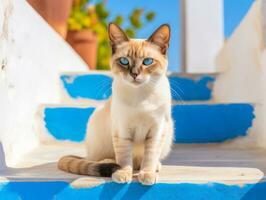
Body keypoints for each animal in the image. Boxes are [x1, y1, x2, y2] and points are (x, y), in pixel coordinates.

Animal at [58, 22, 174, 185]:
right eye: (124, 61)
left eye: (147, 62)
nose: (134, 74)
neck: (140, 97)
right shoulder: (122, 130)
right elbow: (124, 159)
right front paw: (123, 174)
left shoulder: (156, 130)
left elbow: (149, 157)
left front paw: (147, 174)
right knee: (99, 160)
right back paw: (110, 164)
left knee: (141, 161)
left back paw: (153, 167)